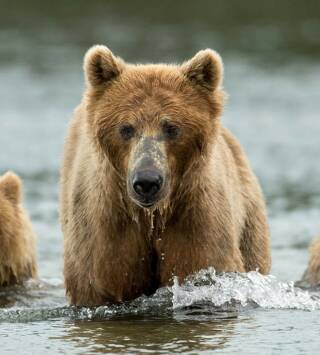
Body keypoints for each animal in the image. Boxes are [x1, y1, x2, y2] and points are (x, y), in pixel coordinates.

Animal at [59, 44, 270, 306]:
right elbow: (101, 281)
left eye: (171, 128)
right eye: (126, 128)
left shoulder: (195, 218)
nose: (147, 182)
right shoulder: (106, 230)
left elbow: (203, 266)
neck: (152, 217)